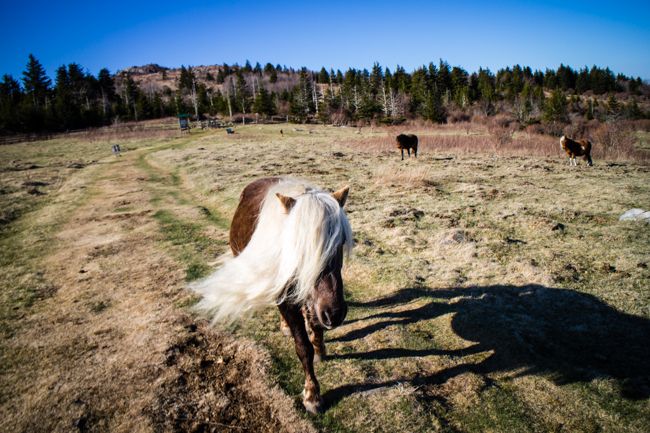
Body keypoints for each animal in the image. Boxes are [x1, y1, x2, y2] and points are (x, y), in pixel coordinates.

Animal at [192, 177, 353, 414]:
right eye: (298, 247)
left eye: (340, 242)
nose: (335, 313)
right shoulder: (289, 297)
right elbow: (303, 348)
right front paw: (312, 395)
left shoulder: (314, 300)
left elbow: (314, 325)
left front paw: (320, 347)